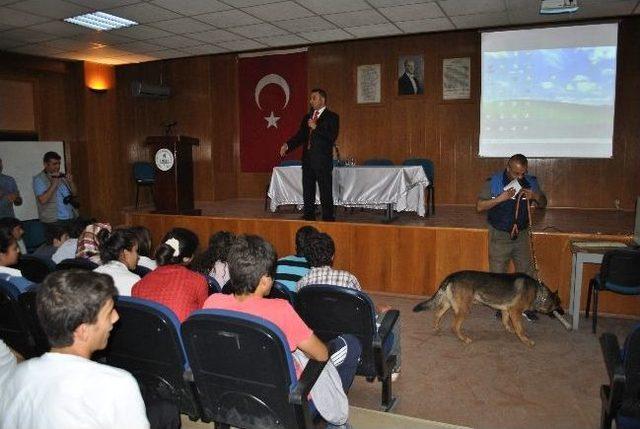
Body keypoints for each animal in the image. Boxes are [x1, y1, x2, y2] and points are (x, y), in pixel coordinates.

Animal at [416, 272, 560, 346]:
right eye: (559, 305)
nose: (563, 312)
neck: (538, 292)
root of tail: (451, 276)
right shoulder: (515, 311)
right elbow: (520, 329)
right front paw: (525, 340)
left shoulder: (507, 310)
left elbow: (506, 321)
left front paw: (509, 330)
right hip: (464, 309)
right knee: (454, 326)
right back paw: (464, 339)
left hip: (448, 304)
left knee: (437, 314)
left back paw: (436, 328)